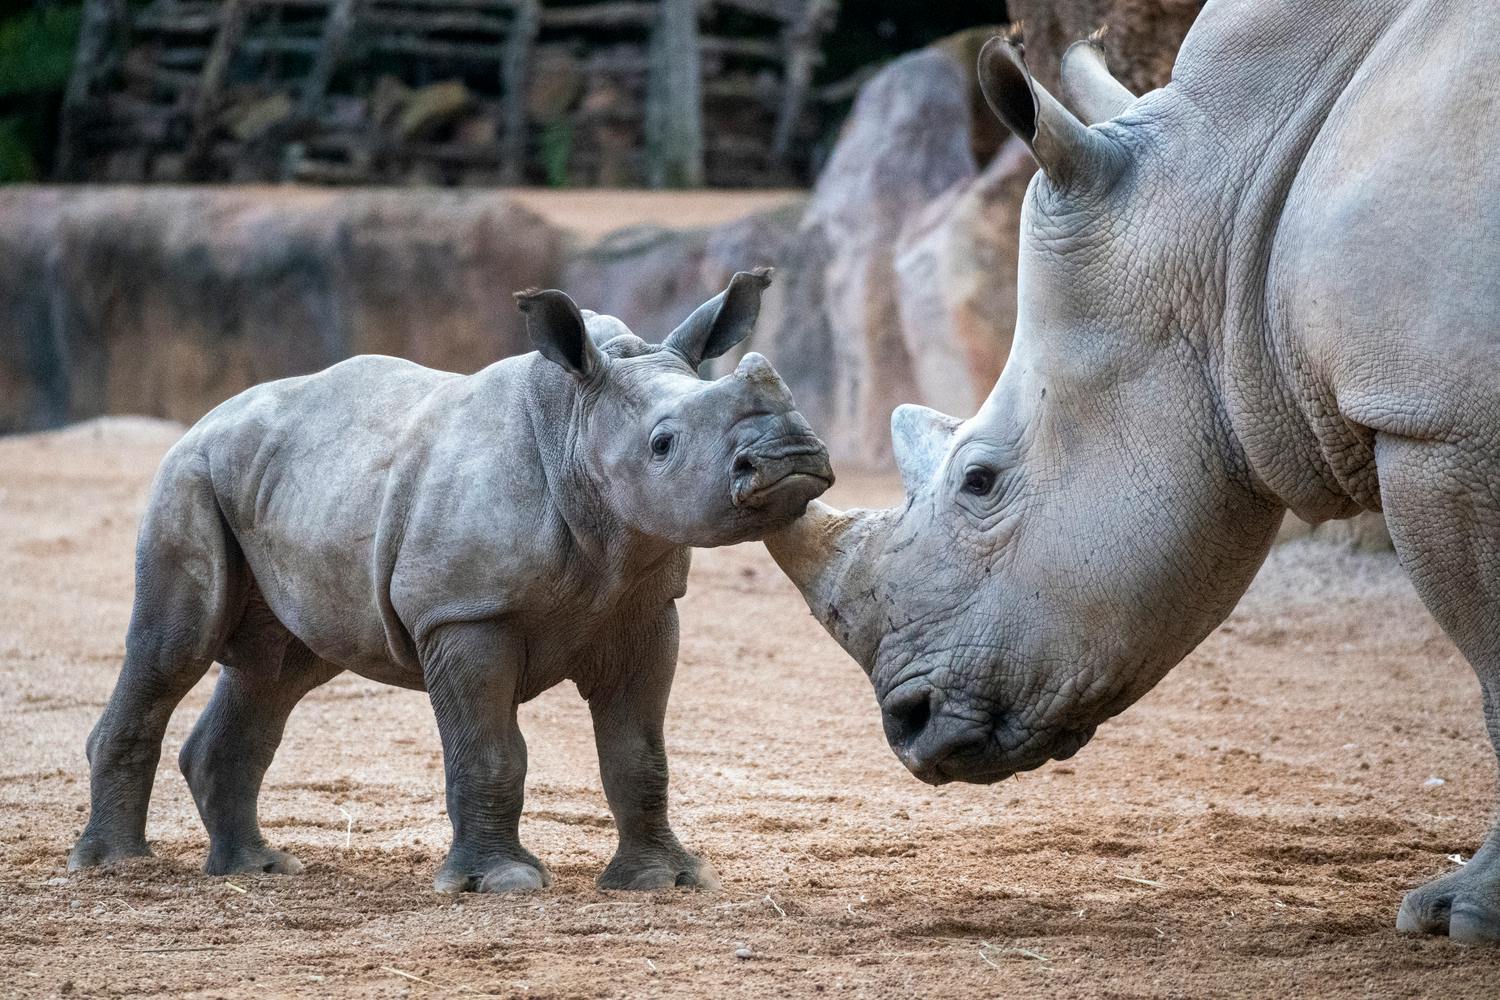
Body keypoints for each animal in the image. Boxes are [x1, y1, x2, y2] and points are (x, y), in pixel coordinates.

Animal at [69, 269, 833, 893]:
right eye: (663, 445)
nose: (791, 454)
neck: (575, 425)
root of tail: (209, 415)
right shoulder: (465, 613)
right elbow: (490, 751)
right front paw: (501, 884)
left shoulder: (643, 608)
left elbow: (640, 754)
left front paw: (665, 880)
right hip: (189, 475)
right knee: (173, 649)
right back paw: (115, 866)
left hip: (284, 481)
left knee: (277, 669)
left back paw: (258, 869)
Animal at [767, 2, 1500, 942]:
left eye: (979, 481)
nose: (907, 724)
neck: (1232, 202)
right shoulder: (1449, 414)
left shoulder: (1441, 423)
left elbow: (1493, 672)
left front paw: (1463, 918)